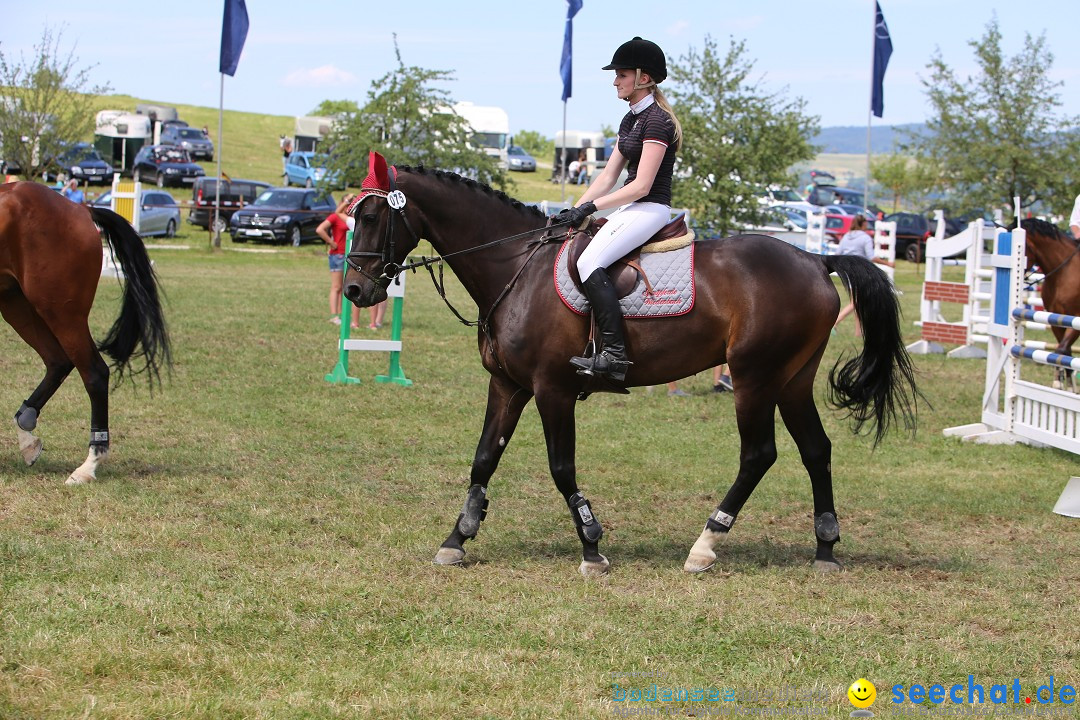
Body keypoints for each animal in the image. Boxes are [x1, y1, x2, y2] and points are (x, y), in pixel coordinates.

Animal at [0, 181, 169, 483]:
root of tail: (80, 209)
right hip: (16, 304)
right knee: (58, 361)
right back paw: (27, 439)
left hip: (62, 311)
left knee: (94, 373)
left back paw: (88, 465)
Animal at [343, 160, 920, 578]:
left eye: (371, 218)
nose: (354, 290)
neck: (517, 267)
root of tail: (816, 260)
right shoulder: (507, 385)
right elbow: (483, 460)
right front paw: (457, 539)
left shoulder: (552, 389)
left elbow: (561, 468)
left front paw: (591, 547)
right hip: (792, 379)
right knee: (816, 450)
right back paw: (824, 550)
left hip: (754, 377)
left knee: (759, 454)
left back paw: (705, 545)